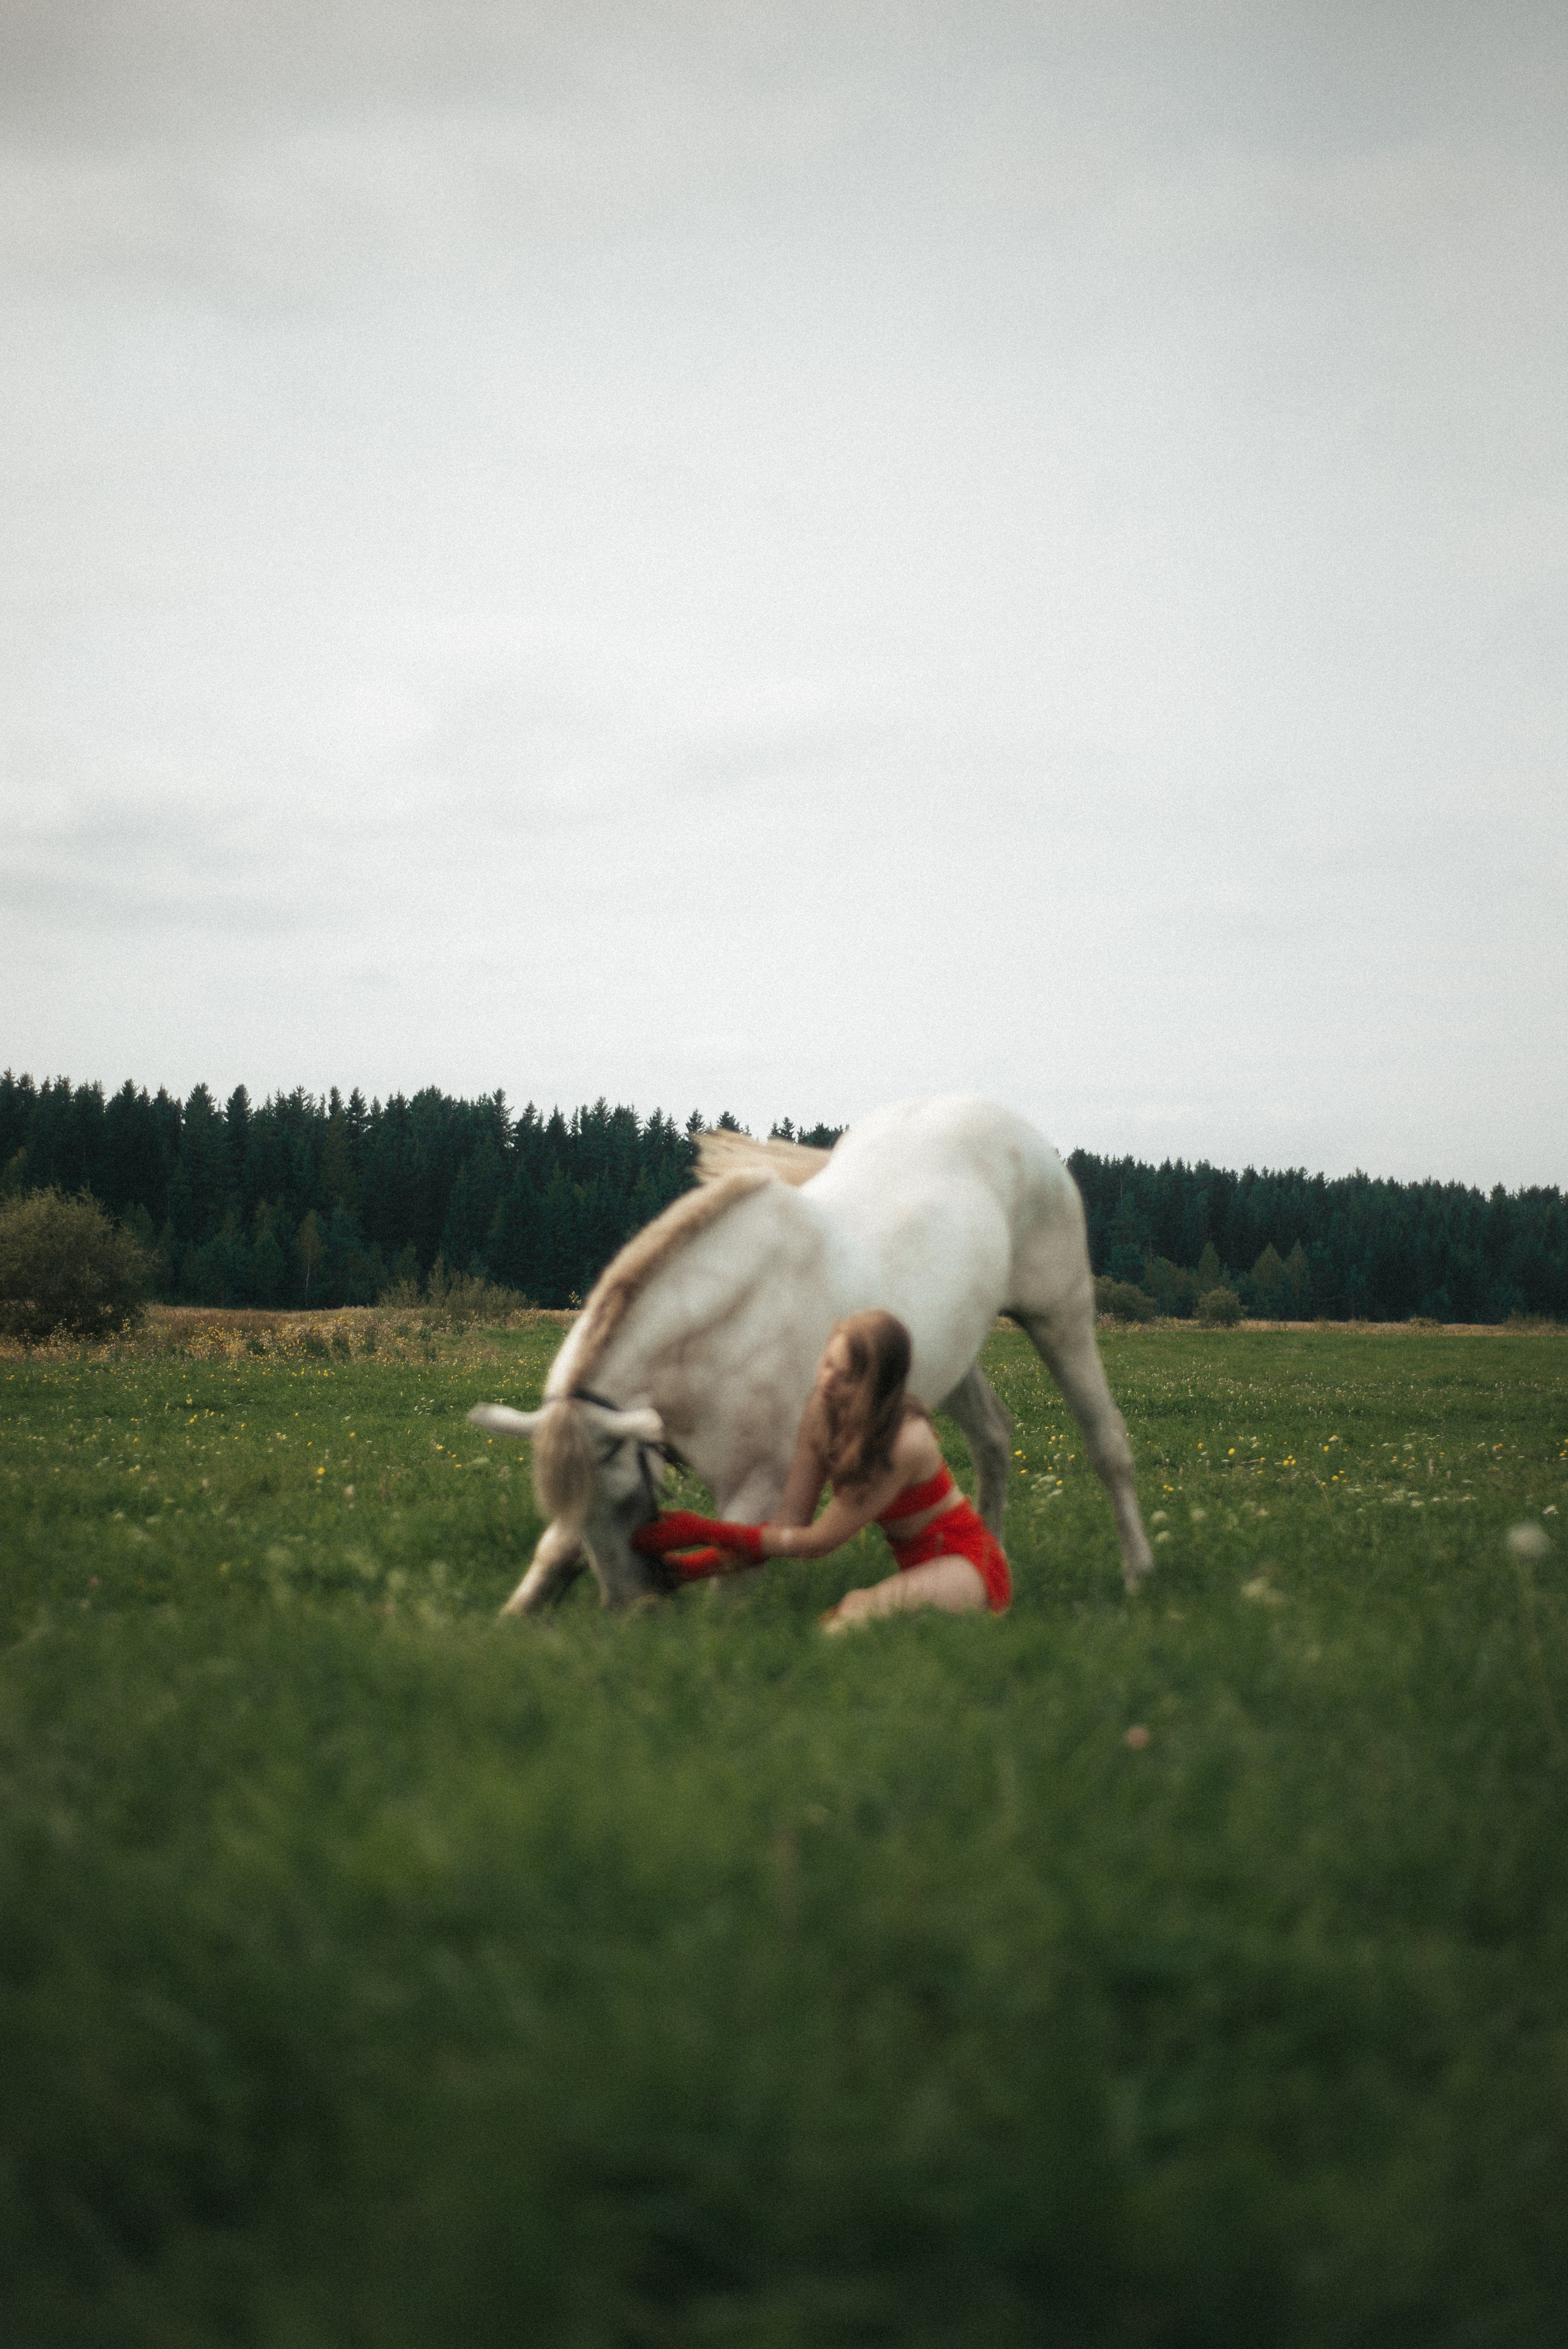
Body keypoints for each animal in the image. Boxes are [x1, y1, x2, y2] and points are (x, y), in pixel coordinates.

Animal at [469, 1094, 1154, 1613]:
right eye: (572, 1507)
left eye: (619, 1499)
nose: (636, 1605)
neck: (727, 1332)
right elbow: (552, 1556)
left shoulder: (760, 1489)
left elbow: (731, 1584)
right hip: (946, 1354)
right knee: (992, 1439)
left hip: (1060, 1316)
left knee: (1107, 1443)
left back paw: (1137, 1574)